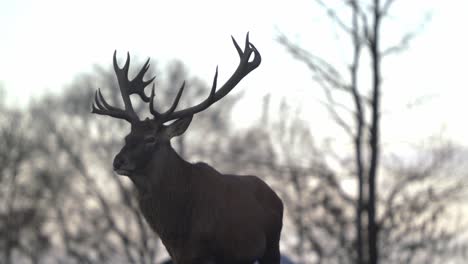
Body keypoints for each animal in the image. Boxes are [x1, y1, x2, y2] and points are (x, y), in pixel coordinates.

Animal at [90, 33, 284, 264]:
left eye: (151, 138)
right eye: (127, 137)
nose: (118, 161)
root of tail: (277, 198)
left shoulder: (212, 254)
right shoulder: (178, 255)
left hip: (271, 245)